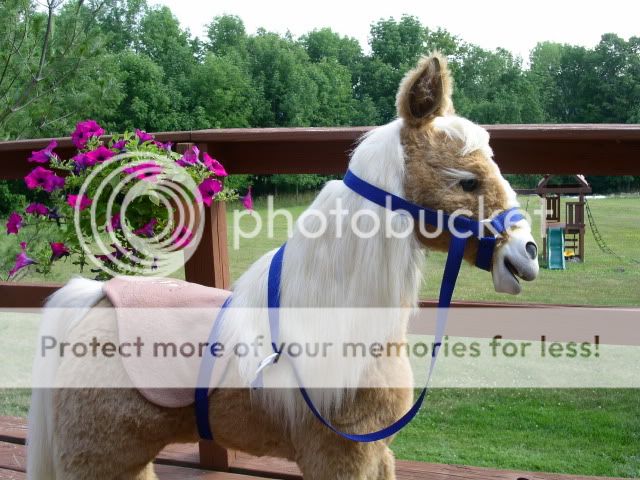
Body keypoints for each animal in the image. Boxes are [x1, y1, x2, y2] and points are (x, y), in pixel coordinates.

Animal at [27, 53, 539, 480]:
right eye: (468, 180)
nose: (527, 252)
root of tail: (95, 299)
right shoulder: (338, 457)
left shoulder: (375, 454)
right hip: (102, 461)